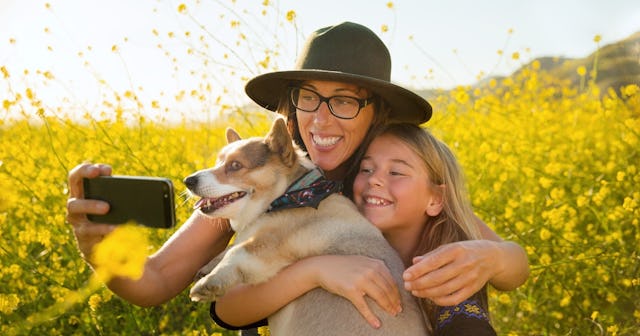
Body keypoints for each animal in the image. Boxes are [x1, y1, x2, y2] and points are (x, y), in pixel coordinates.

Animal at [182, 117, 428, 334]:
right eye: (218, 162)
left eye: (235, 165)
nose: (188, 181)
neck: (291, 194)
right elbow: (230, 248)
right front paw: (208, 266)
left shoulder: (269, 247)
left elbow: (237, 252)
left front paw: (209, 282)